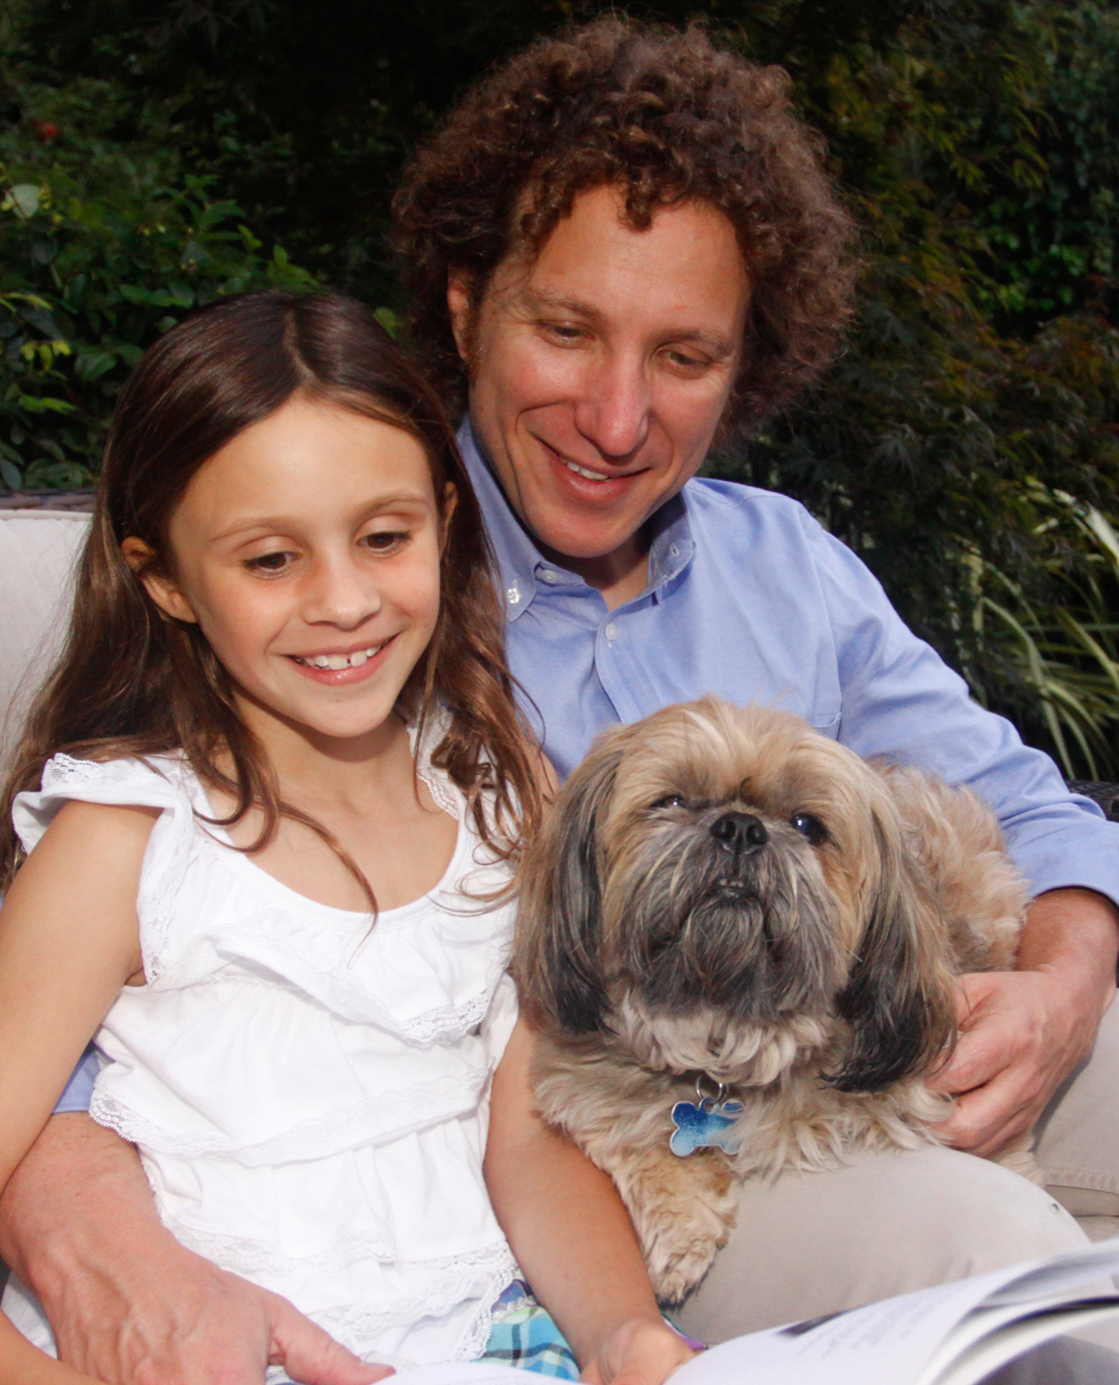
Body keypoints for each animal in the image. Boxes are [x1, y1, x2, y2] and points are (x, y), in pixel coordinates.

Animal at [512, 698, 1024, 1301]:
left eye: (807, 825)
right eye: (673, 801)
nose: (740, 828)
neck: (726, 1030)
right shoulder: (578, 1083)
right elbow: (632, 1140)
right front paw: (680, 1236)